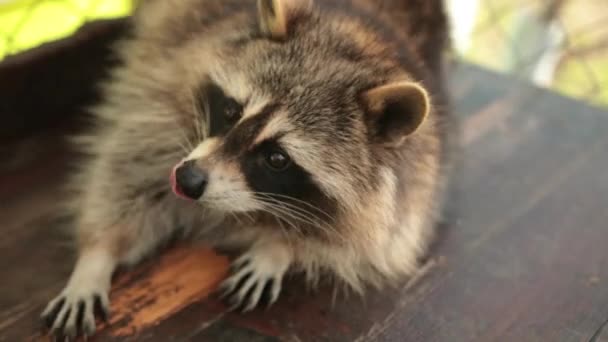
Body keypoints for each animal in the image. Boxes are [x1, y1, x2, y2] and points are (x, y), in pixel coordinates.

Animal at [41, 0, 452, 336]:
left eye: (277, 158)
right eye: (231, 110)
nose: (187, 180)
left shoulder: (410, 187)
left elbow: (363, 244)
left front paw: (280, 248)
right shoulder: (163, 91)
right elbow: (124, 174)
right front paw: (96, 257)